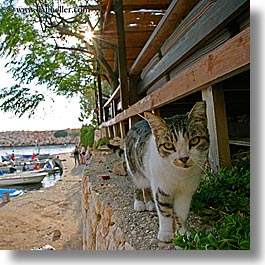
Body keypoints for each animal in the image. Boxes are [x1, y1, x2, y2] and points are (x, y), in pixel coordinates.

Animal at [124, 100, 208, 241]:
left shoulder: (186, 191)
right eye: (168, 145)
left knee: (147, 187)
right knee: (138, 185)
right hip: (135, 169)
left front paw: (182, 232)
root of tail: (136, 123)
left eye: (195, 140)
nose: (184, 158)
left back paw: (150, 204)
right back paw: (140, 203)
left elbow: (181, 211)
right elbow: (164, 210)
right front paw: (166, 233)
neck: (179, 174)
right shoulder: (161, 187)